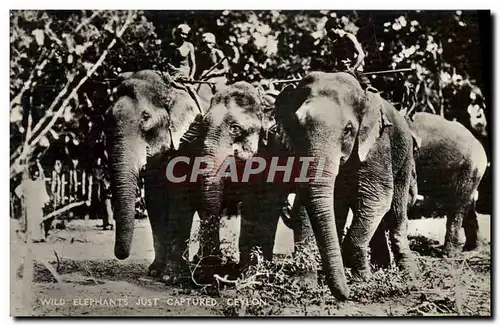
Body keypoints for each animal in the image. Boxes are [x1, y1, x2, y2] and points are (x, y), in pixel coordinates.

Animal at [103, 69, 207, 278]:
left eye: (145, 118)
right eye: (107, 118)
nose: (121, 255)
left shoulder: (188, 141)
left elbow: (179, 199)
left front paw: (170, 275)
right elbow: (155, 198)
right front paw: (154, 271)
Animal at [274, 71, 418, 300]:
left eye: (348, 131)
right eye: (297, 126)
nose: (345, 295)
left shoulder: (377, 145)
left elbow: (377, 197)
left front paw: (361, 281)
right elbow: (303, 205)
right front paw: (303, 285)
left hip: (405, 158)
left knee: (395, 210)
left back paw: (408, 274)